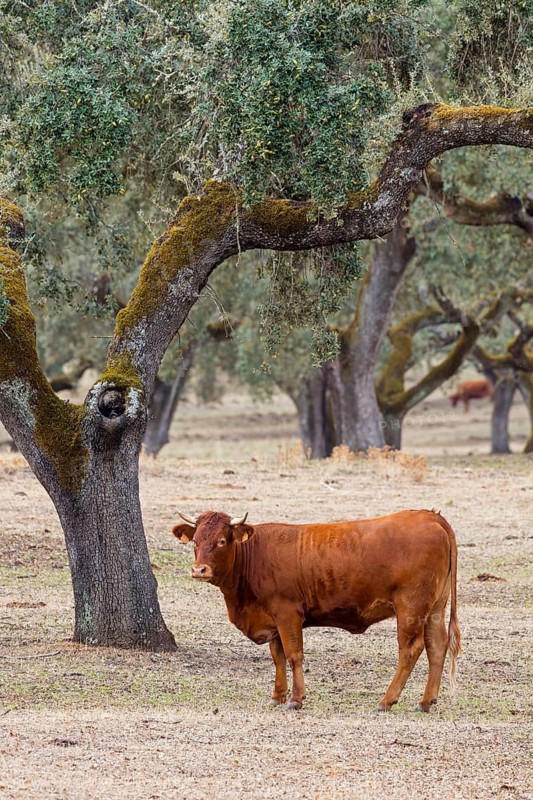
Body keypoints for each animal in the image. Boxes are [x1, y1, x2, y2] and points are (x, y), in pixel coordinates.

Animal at [172, 509, 461, 713]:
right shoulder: (273, 620)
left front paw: (296, 699)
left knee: (410, 649)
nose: (199, 569)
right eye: (195, 541)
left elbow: (293, 655)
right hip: (435, 608)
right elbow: (277, 657)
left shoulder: (287, 614)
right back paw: (425, 701)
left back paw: (387, 700)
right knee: (437, 645)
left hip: (411, 608)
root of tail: (429, 516)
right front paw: (278, 695)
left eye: (222, 541)